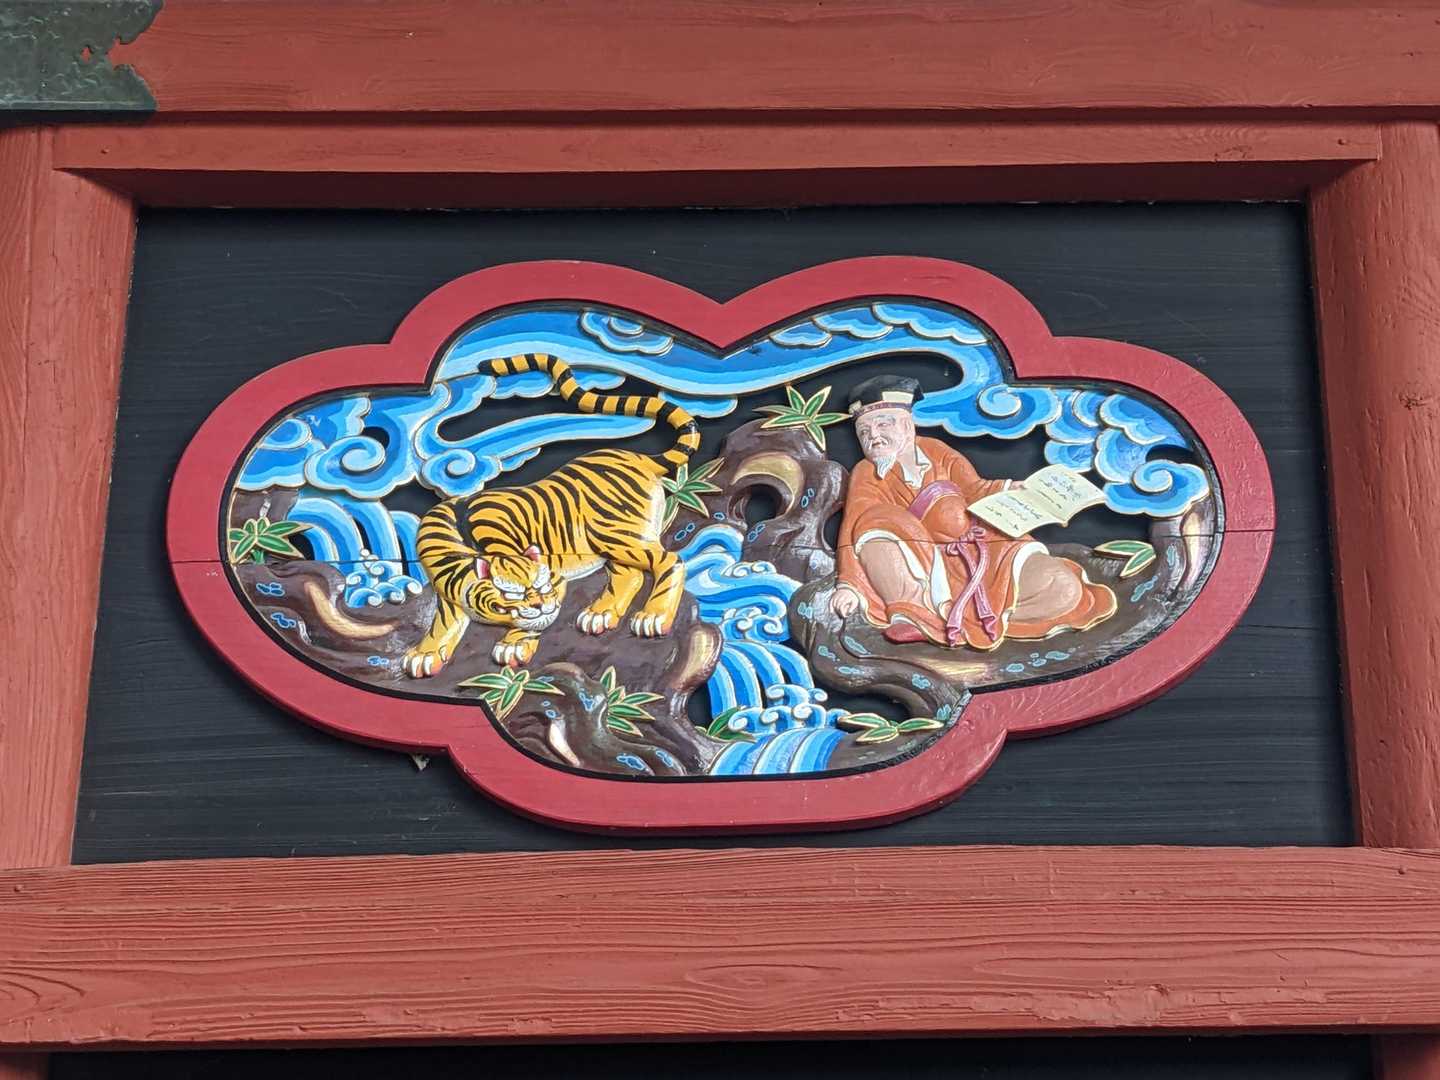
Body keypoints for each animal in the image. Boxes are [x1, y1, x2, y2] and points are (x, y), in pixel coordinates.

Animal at [402, 352, 701, 676]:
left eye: (543, 585)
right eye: (513, 594)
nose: (548, 608)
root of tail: (639, 457)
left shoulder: (553, 577)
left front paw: (515, 643)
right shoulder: (448, 596)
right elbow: (442, 624)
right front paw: (426, 653)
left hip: (617, 535)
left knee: (670, 561)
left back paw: (653, 616)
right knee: (630, 575)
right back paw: (600, 614)